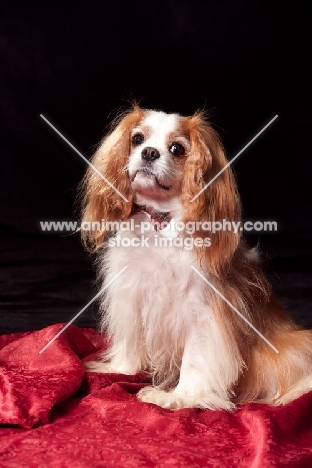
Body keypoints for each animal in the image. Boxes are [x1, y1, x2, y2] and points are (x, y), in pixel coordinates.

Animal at [80, 107, 312, 410]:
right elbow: (131, 342)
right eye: (138, 138)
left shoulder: (204, 314)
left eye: (177, 148)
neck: (160, 223)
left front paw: (178, 397)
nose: (149, 152)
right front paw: (119, 370)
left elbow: (194, 361)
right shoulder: (132, 296)